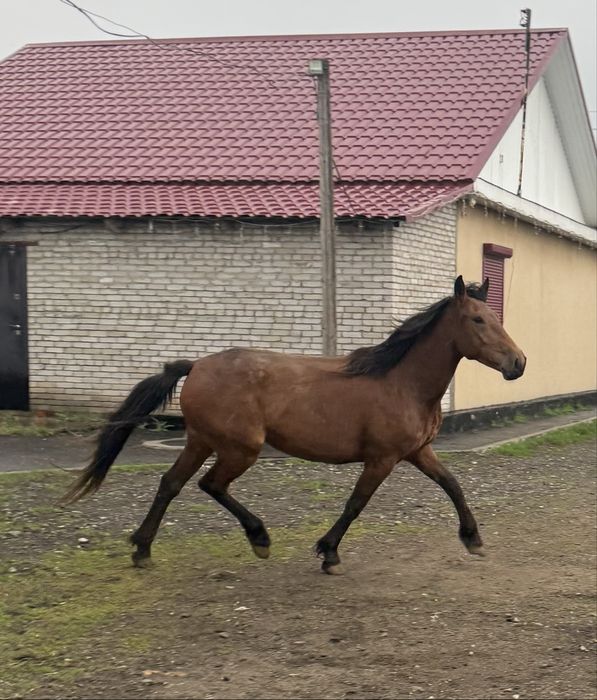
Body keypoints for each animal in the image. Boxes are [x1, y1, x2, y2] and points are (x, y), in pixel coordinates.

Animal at [61, 276, 526, 574]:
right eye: (478, 320)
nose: (518, 364)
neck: (401, 381)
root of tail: (195, 366)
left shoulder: (417, 451)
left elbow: (453, 485)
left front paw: (473, 539)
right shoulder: (382, 459)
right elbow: (355, 504)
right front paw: (329, 553)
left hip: (201, 441)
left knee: (171, 484)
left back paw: (142, 549)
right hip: (239, 448)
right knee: (210, 485)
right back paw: (259, 538)